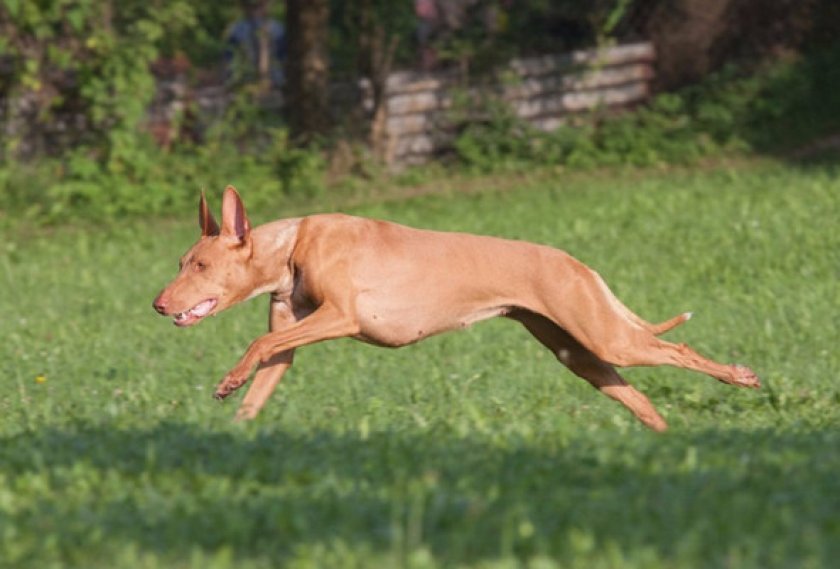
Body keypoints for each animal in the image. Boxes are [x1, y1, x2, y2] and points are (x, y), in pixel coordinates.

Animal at [153, 186, 760, 431]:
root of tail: (575, 262)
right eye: (182, 261)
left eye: (200, 266)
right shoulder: (290, 344)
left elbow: (258, 343)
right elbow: (264, 373)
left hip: (609, 338)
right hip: (580, 355)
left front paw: (228, 380)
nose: (158, 305)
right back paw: (667, 437)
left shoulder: (341, 317)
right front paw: (235, 420)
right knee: (640, 400)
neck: (293, 245)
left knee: (678, 349)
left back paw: (740, 377)